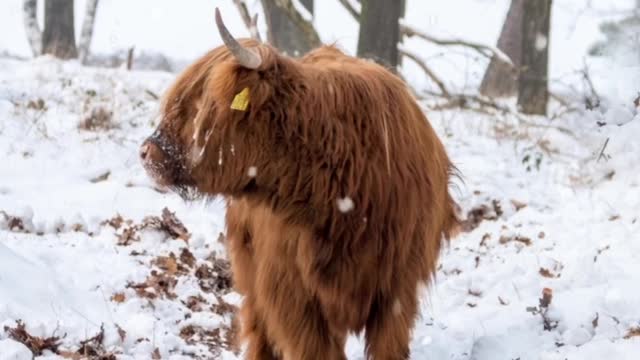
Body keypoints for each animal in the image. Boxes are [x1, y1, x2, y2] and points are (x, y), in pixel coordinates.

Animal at [141, 9, 460, 360]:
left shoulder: (398, 290)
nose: (146, 152)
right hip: (251, 270)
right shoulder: (290, 292)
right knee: (260, 333)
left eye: (201, 104)